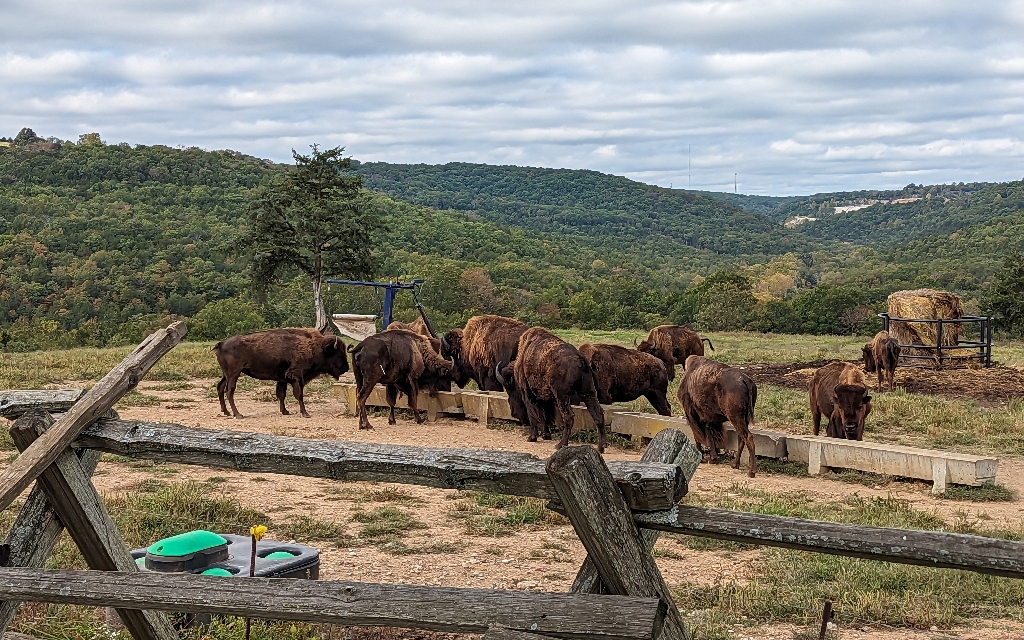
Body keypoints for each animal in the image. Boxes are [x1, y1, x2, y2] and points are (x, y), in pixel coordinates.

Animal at [214, 329, 350, 419]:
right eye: (338, 353)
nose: (346, 368)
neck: (315, 346)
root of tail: (221, 344)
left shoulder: (282, 379)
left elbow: (281, 394)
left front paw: (285, 411)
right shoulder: (297, 377)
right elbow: (299, 395)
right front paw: (305, 413)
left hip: (226, 374)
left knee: (220, 387)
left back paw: (226, 412)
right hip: (234, 373)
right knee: (229, 390)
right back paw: (238, 414)